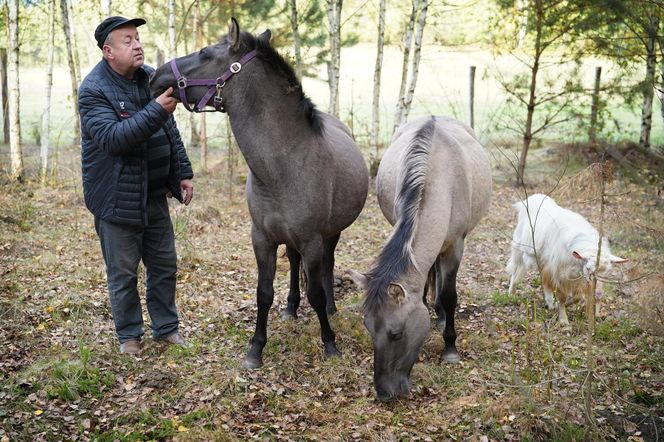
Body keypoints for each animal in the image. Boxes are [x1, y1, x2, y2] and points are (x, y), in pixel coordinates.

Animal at [150, 19, 368, 368]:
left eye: (204, 53)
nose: (154, 76)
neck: (284, 167)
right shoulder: (262, 239)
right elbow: (263, 293)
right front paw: (255, 349)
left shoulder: (312, 240)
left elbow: (316, 293)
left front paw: (330, 343)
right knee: (292, 262)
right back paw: (291, 308)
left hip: (331, 233)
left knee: (328, 265)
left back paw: (332, 308)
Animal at [350, 115, 490, 402]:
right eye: (368, 328)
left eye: (396, 334)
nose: (384, 393)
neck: (440, 177)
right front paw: (429, 307)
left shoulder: (455, 247)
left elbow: (449, 295)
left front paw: (450, 348)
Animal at [506, 193, 624, 324]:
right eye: (588, 268)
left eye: (607, 271)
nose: (598, 293)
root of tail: (534, 197)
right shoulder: (559, 274)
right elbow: (562, 297)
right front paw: (563, 320)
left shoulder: (576, 278)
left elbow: (577, 297)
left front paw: (568, 305)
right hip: (518, 251)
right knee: (516, 273)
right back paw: (511, 293)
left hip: (542, 261)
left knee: (544, 281)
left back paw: (550, 304)